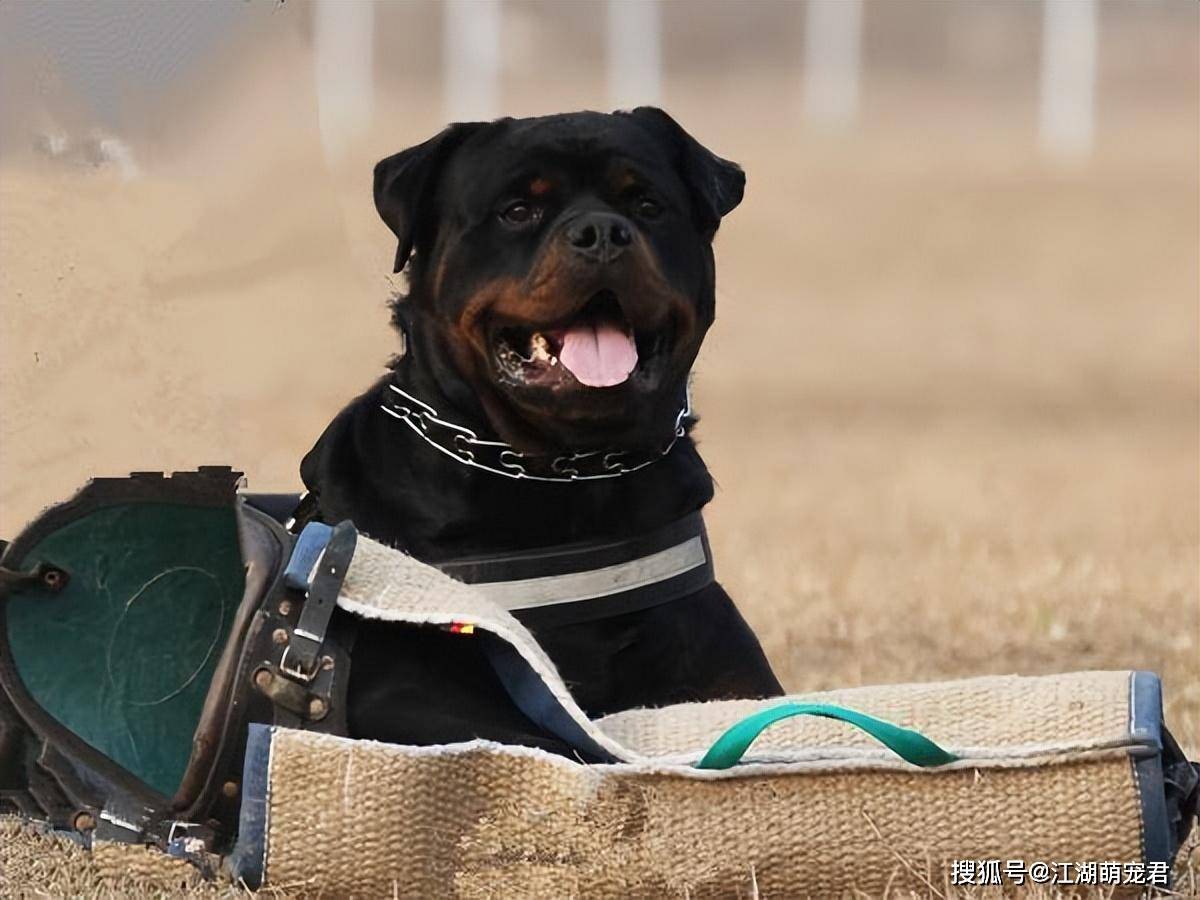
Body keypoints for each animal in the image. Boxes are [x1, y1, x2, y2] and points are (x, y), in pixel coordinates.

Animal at [296, 109, 782, 758]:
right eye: (518, 210)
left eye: (646, 205)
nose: (602, 232)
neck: (567, 472)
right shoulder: (403, 697)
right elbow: (554, 742)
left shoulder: (731, 682)